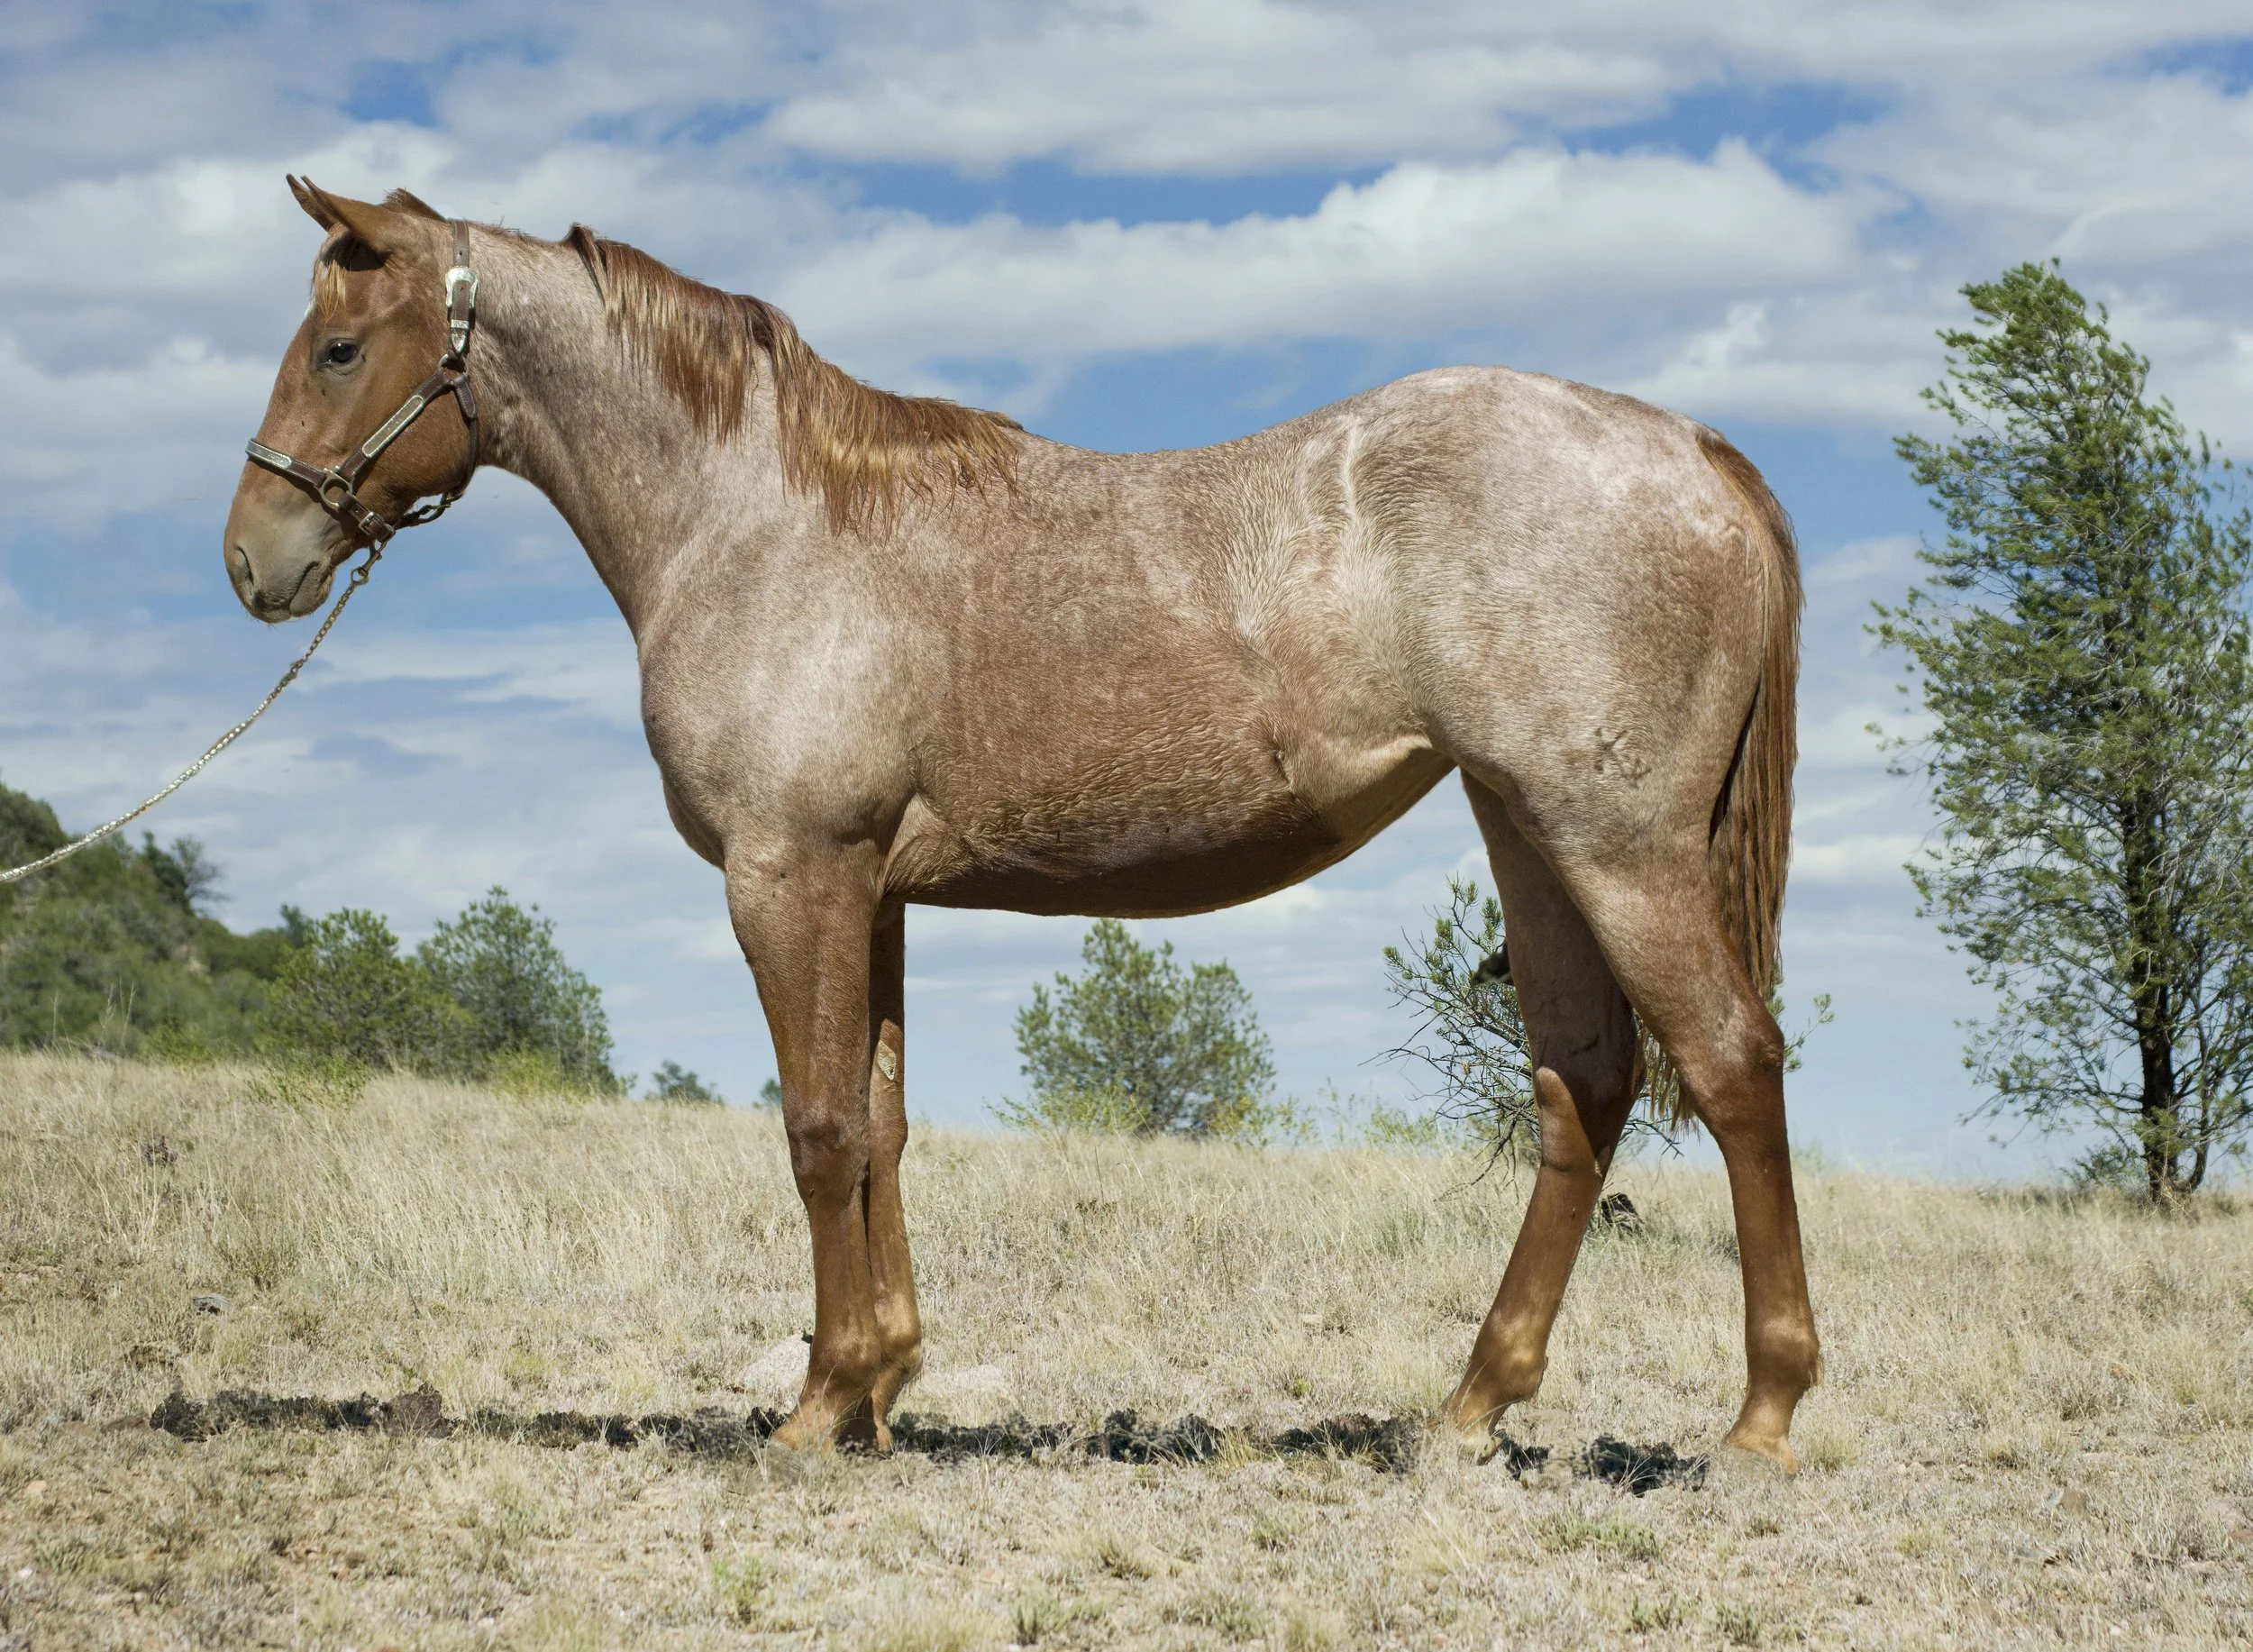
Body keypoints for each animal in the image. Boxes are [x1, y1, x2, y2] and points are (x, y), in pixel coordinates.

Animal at [224, 179, 1820, 1471]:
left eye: (340, 348)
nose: (254, 559)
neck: (756, 523)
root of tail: (1691, 448)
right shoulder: (872, 891)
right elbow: (879, 1125)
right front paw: (877, 1389)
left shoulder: (788, 874)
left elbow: (815, 1128)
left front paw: (815, 1411)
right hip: (1527, 833)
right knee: (1583, 1088)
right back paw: (1469, 1411)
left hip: (1615, 845)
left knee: (1732, 1064)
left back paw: (1760, 1418)